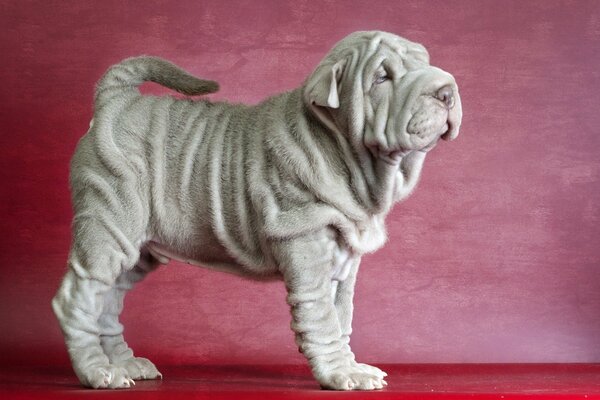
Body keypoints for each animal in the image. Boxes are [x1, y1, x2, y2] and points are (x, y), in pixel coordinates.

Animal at [52, 32, 464, 390]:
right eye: (382, 77)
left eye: (425, 62)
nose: (446, 90)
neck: (346, 155)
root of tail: (115, 101)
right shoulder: (305, 243)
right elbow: (322, 317)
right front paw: (340, 374)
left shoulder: (346, 256)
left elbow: (342, 315)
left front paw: (350, 366)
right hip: (109, 224)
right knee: (78, 299)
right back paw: (98, 372)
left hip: (138, 248)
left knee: (107, 300)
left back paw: (125, 364)